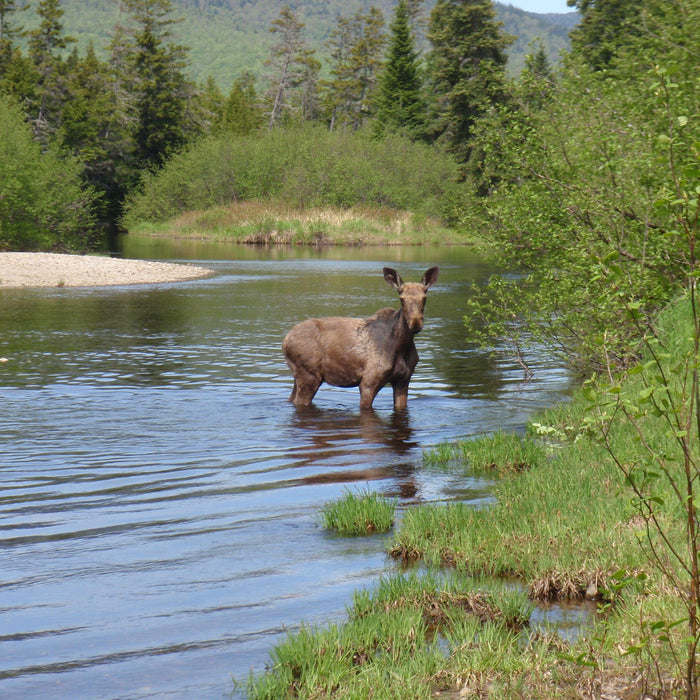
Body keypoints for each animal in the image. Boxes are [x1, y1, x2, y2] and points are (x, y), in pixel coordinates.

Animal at [284, 266, 438, 410]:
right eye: (402, 299)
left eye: (424, 298)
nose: (415, 323)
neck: (402, 345)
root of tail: (285, 341)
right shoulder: (368, 382)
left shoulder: (403, 380)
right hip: (309, 375)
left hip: (299, 377)